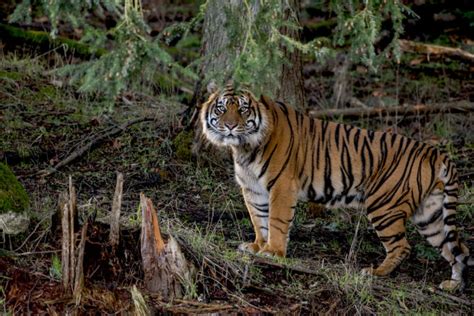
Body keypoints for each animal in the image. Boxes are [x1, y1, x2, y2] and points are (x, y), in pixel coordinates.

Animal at [198, 82, 472, 290]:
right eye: (222, 108)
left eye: (243, 109)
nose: (230, 125)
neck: (243, 147)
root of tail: (435, 152)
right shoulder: (253, 189)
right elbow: (258, 219)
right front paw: (257, 246)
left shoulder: (282, 186)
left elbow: (275, 220)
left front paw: (273, 252)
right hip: (430, 214)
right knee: (457, 247)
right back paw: (454, 284)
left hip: (384, 206)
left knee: (402, 246)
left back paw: (375, 272)